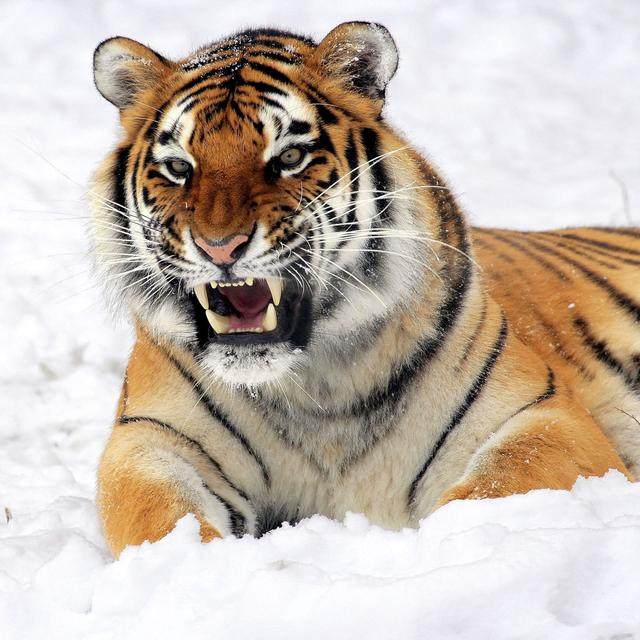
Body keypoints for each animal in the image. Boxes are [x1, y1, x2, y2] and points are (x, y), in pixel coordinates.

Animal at [91, 22, 640, 556]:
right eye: (178, 168)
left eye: (290, 157)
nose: (220, 247)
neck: (316, 387)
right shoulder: (150, 438)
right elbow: (161, 516)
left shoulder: (542, 414)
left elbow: (495, 487)